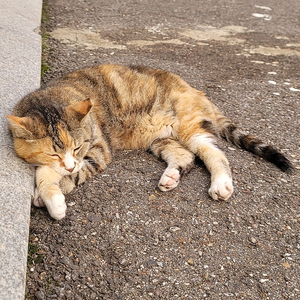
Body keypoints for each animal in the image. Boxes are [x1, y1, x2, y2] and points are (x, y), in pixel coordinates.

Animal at [6, 65, 292, 220]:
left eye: (77, 147)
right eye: (54, 153)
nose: (68, 164)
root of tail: (191, 88)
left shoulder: (98, 151)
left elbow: (66, 176)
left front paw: (51, 197)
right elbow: (48, 170)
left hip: (187, 127)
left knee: (215, 154)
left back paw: (221, 183)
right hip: (159, 137)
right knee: (185, 156)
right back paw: (171, 176)